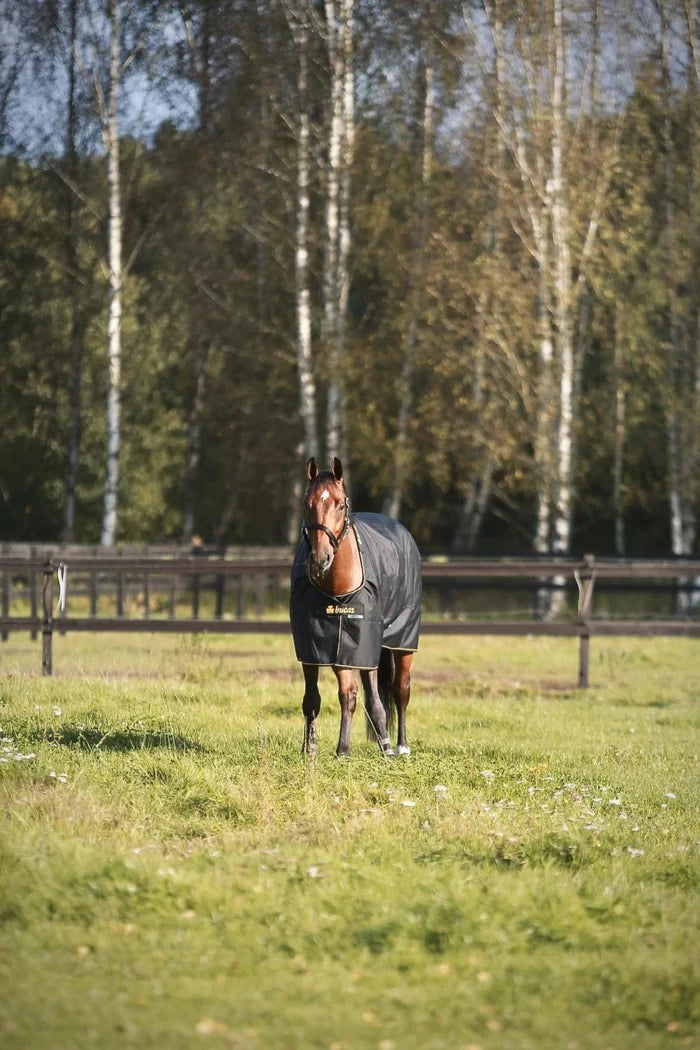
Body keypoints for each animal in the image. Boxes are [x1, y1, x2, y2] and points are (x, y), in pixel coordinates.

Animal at [289, 457, 422, 758]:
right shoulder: (314, 648)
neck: (336, 593)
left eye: (340, 504)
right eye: (307, 503)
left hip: (401, 643)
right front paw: (309, 750)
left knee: (399, 690)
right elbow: (313, 698)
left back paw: (398, 745)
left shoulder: (356, 648)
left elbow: (352, 695)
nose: (320, 558)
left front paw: (343, 750)